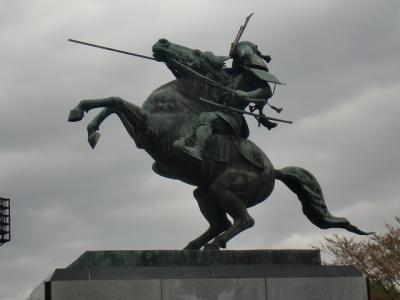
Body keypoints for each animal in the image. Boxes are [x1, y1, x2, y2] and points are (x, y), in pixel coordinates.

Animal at [68, 38, 368, 248]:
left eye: (199, 52)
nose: (161, 42)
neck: (183, 99)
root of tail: (275, 171)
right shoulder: (142, 134)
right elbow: (111, 104)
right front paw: (87, 123)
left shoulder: (149, 126)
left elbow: (115, 101)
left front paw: (83, 118)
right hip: (204, 192)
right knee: (220, 221)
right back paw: (192, 247)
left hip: (224, 187)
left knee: (244, 220)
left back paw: (215, 245)